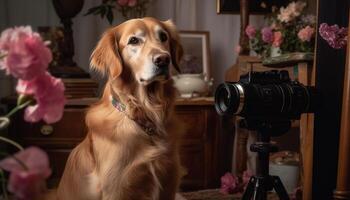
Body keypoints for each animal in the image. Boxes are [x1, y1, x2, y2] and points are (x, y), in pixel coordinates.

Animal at [55, 18, 183, 199]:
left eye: (163, 37)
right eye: (134, 40)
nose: (163, 59)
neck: (146, 114)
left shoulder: (169, 182)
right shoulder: (116, 188)